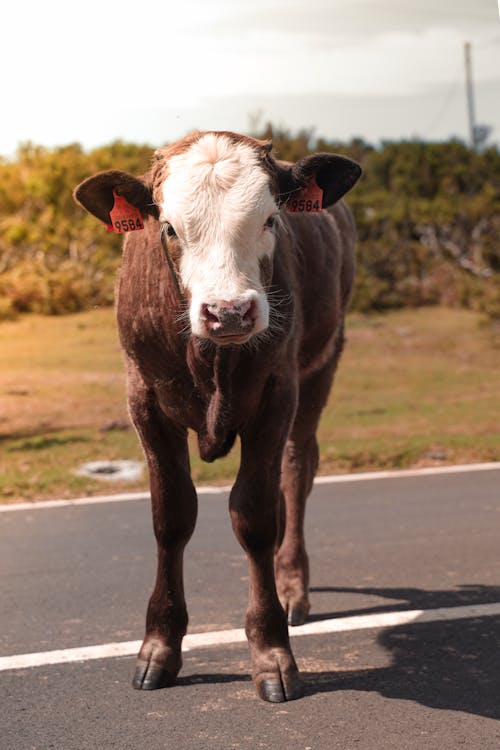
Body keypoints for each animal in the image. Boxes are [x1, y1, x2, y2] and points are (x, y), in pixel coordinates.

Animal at [74, 131, 362, 704]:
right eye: (167, 226)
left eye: (271, 219)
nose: (228, 312)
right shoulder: (145, 401)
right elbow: (171, 517)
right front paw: (159, 646)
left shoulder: (277, 395)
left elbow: (253, 517)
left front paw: (271, 652)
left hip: (321, 367)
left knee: (295, 471)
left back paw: (291, 583)